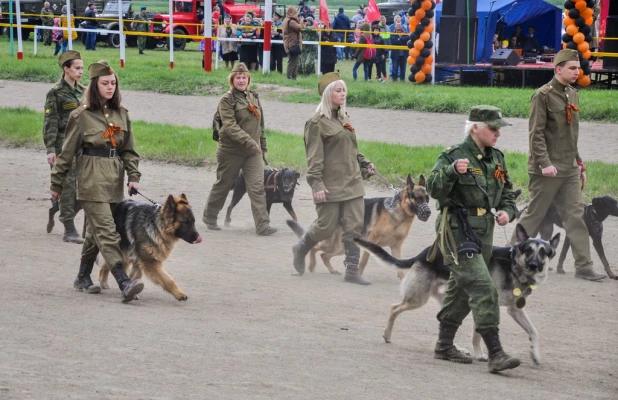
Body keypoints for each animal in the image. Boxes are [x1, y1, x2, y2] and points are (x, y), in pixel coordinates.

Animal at [288, 175, 428, 278]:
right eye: (418, 198)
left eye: (427, 199)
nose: (428, 212)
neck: (399, 213)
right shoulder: (372, 241)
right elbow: (364, 261)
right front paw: (358, 275)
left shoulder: (396, 246)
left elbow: (399, 266)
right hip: (334, 244)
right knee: (314, 248)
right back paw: (310, 264)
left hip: (340, 247)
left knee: (324, 255)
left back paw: (332, 270)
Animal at [352, 225, 560, 366]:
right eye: (528, 250)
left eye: (544, 253)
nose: (534, 266)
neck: (513, 266)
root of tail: (423, 254)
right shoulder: (485, 303)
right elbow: (478, 335)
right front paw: (480, 355)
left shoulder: (515, 310)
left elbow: (534, 331)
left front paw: (536, 355)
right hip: (418, 299)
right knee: (394, 308)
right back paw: (387, 335)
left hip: (451, 299)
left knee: (445, 321)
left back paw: (455, 349)